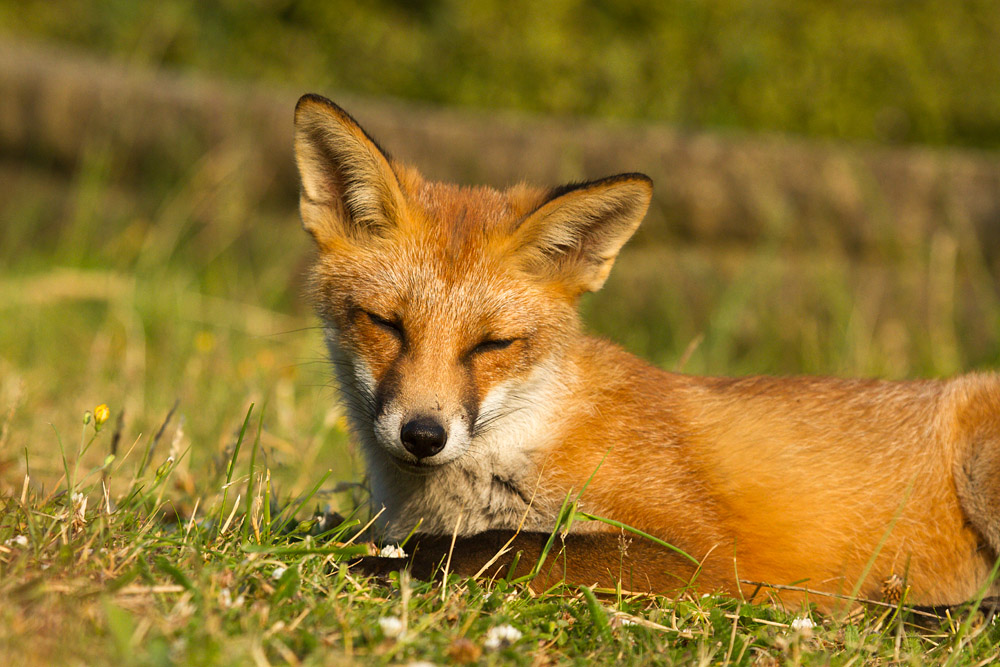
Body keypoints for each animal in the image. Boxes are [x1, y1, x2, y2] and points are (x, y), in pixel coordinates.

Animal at [293, 93, 1000, 611]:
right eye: (387, 324)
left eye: (492, 344)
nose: (422, 435)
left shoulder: (704, 556)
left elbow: (510, 546)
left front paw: (379, 566)